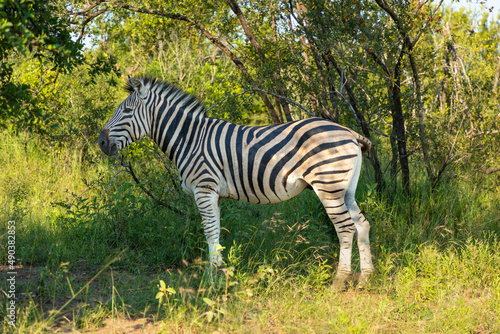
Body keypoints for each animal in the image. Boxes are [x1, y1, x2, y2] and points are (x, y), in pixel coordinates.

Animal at [97, 76, 374, 290]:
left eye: (127, 112)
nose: (100, 142)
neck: (189, 139)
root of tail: (348, 131)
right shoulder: (214, 194)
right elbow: (217, 232)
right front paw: (221, 274)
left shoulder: (204, 188)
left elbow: (209, 232)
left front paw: (211, 280)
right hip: (345, 189)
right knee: (362, 224)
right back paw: (366, 278)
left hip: (328, 186)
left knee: (345, 228)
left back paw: (339, 281)